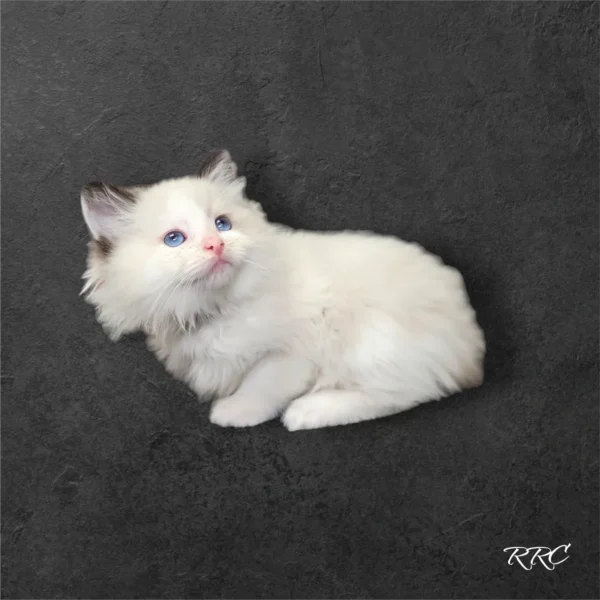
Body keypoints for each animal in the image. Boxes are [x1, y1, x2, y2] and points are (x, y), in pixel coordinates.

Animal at [79, 150, 486, 432]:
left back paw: (308, 411)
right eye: (174, 239)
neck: (218, 309)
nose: (216, 245)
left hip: (373, 340)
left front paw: (233, 412)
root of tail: (471, 344)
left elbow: (260, 387)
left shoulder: (289, 354)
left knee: (403, 393)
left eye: (222, 224)